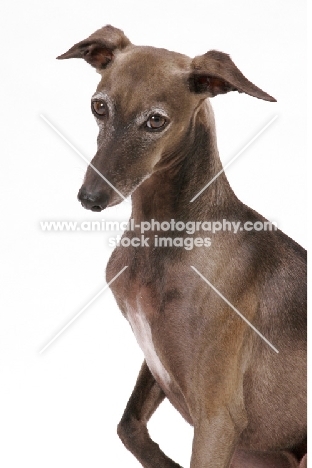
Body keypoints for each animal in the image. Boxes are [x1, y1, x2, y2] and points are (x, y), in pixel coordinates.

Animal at [57, 25, 306, 468]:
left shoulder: (218, 418)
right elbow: (127, 425)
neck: (162, 239)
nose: (90, 198)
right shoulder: (156, 360)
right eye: (99, 107)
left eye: (155, 120)